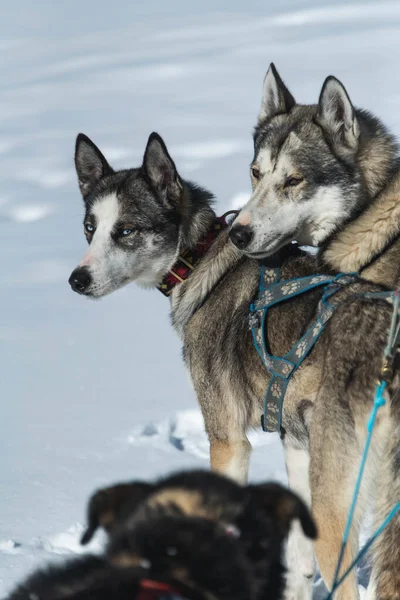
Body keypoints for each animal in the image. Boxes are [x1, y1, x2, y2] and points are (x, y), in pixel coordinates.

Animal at [70, 130, 398, 596]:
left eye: (126, 231)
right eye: (89, 228)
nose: (76, 280)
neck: (199, 259)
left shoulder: (227, 439)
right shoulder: (296, 442)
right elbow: (299, 558)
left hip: (338, 503)